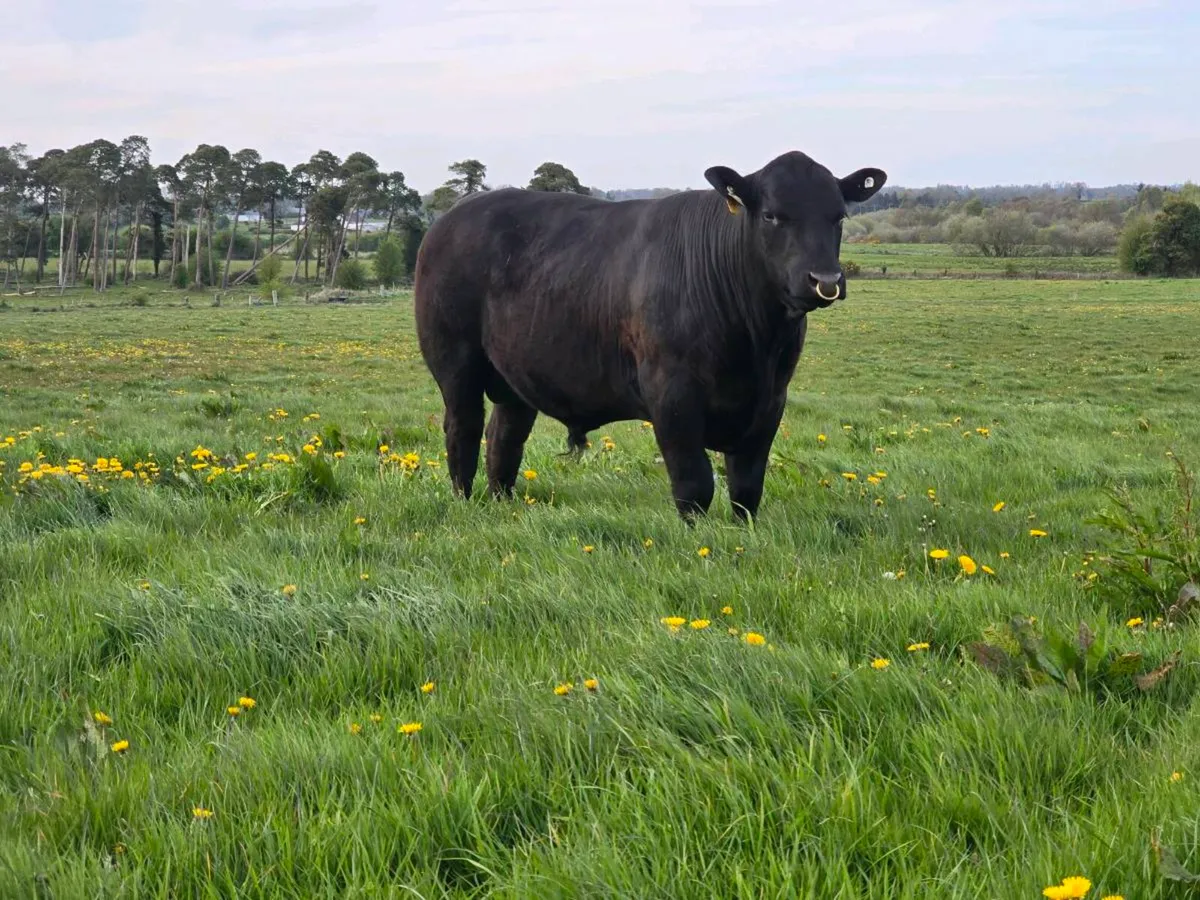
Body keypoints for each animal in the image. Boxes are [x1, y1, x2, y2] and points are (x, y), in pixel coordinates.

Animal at [413, 150, 886, 521]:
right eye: (771, 215)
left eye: (839, 216)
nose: (825, 280)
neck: (756, 344)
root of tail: (451, 217)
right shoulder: (672, 393)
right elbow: (694, 483)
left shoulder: (771, 400)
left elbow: (747, 486)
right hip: (455, 362)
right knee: (463, 430)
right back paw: (465, 502)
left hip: (515, 375)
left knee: (504, 437)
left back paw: (503, 503)